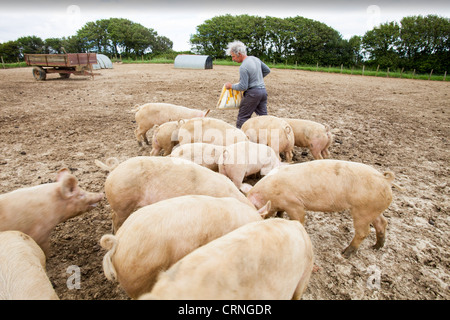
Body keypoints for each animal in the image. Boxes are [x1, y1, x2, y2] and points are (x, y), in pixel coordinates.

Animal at [248, 159, 402, 258]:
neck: (269, 194)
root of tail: (384, 179)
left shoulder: (294, 204)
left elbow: (299, 218)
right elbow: (280, 212)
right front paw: (279, 216)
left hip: (362, 210)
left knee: (364, 232)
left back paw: (345, 254)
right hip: (373, 209)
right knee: (382, 223)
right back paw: (376, 247)